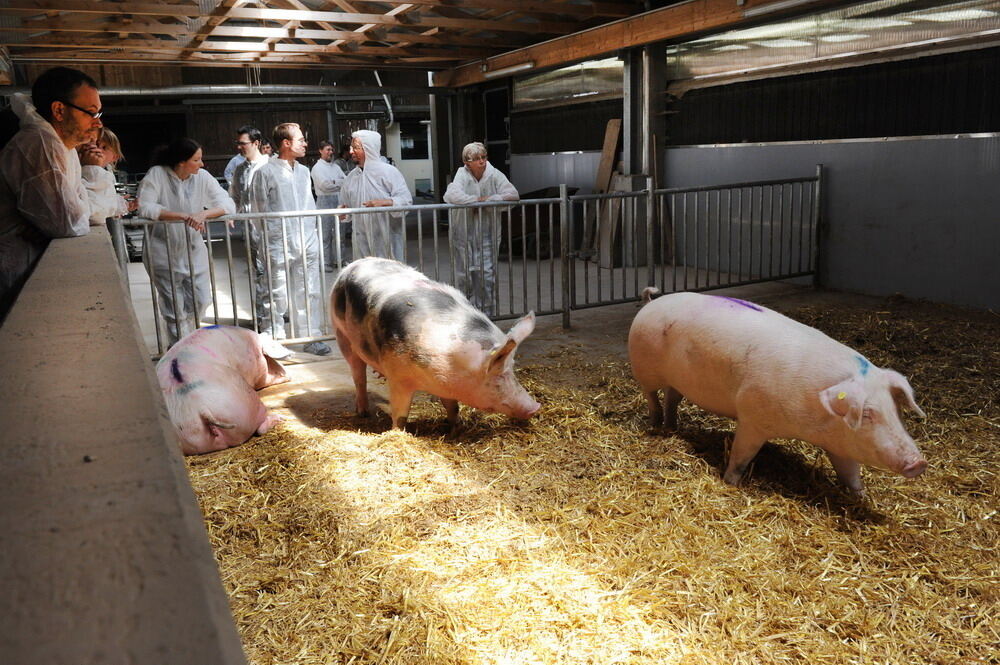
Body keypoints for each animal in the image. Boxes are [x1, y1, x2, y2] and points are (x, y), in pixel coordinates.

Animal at [330, 256, 540, 428]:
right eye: (498, 376)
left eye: (512, 368)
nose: (535, 406)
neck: (452, 357)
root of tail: (354, 263)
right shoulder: (398, 377)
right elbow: (400, 414)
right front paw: (397, 432)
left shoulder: (444, 381)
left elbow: (452, 406)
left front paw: (456, 427)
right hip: (341, 334)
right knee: (358, 376)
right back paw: (363, 413)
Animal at [624, 288, 928, 496]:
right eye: (867, 413)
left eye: (896, 411)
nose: (919, 462)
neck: (812, 423)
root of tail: (651, 302)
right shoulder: (752, 418)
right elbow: (741, 456)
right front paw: (732, 484)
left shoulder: (840, 443)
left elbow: (850, 474)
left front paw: (861, 497)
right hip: (644, 368)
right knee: (651, 396)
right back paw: (656, 427)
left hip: (676, 381)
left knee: (672, 398)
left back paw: (672, 427)